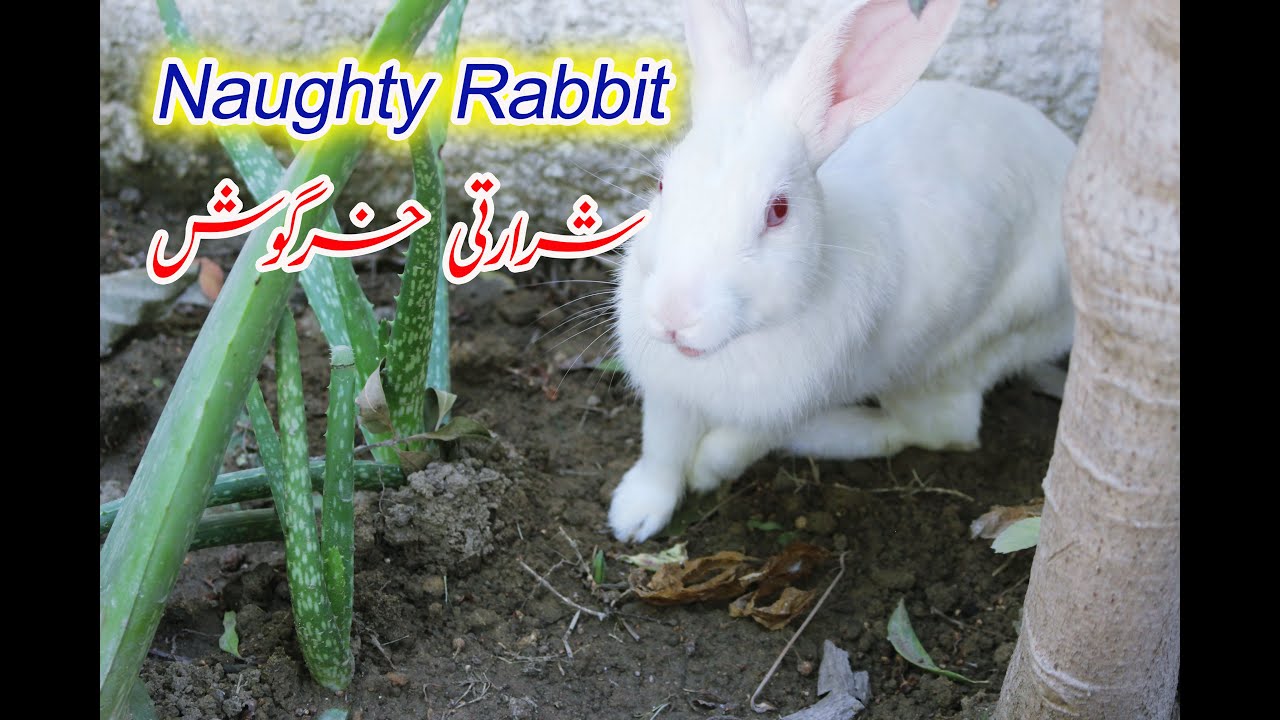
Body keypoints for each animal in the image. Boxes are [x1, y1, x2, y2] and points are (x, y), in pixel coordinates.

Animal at [607, 0, 1077, 543]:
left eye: (779, 211)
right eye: (663, 185)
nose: (674, 316)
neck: (734, 343)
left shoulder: (791, 402)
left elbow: (733, 445)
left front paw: (704, 471)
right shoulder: (667, 395)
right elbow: (660, 453)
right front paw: (632, 518)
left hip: (974, 349)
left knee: (937, 431)